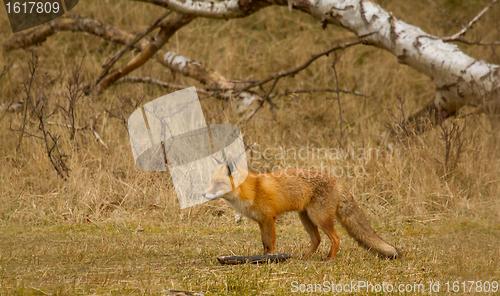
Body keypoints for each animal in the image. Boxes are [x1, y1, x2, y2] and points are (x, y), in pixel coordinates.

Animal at [201, 161, 400, 260]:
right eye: (211, 182)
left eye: (218, 183)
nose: (203, 193)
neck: (251, 190)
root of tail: (336, 181)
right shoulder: (261, 222)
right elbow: (264, 244)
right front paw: (262, 258)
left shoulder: (269, 219)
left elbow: (270, 244)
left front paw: (270, 260)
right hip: (306, 219)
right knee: (317, 240)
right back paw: (304, 258)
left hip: (319, 218)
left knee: (336, 237)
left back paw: (329, 258)